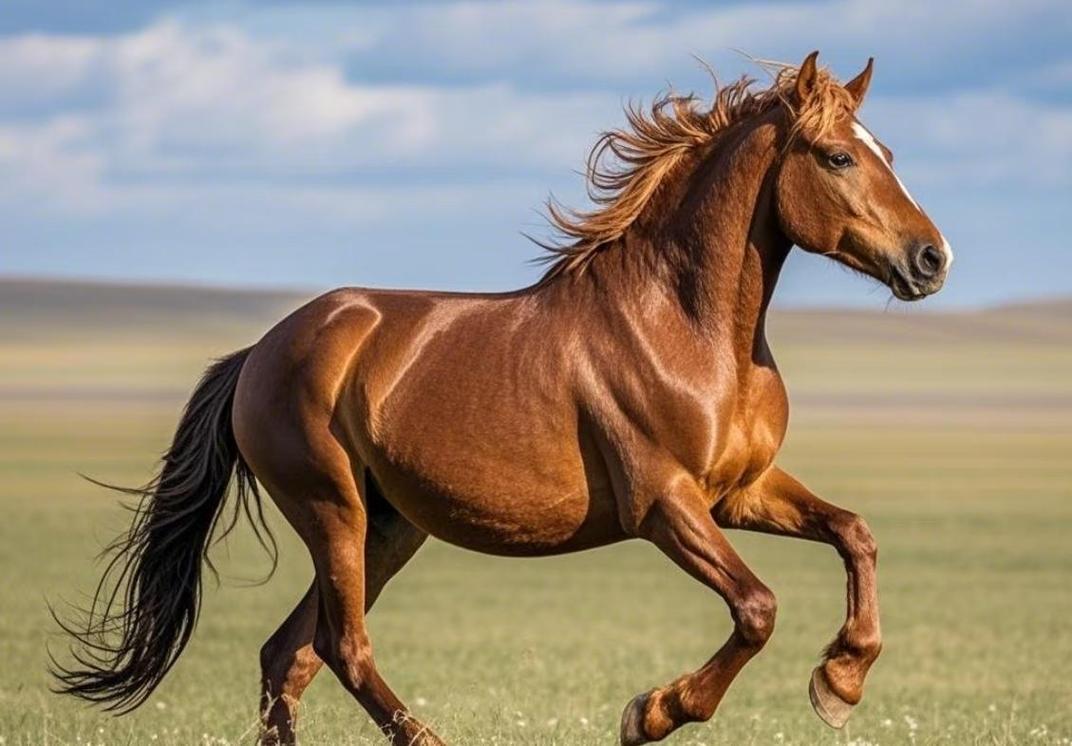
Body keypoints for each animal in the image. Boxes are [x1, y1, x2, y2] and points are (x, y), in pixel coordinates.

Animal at [53, 51, 952, 745]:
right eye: (836, 157)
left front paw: (841, 681)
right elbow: (758, 608)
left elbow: (856, 534)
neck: (688, 329)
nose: (932, 259)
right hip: (333, 512)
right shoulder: (663, 502)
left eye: (887, 150)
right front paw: (652, 711)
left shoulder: (740, 492)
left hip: (388, 528)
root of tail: (258, 353)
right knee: (343, 649)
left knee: (289, 657)